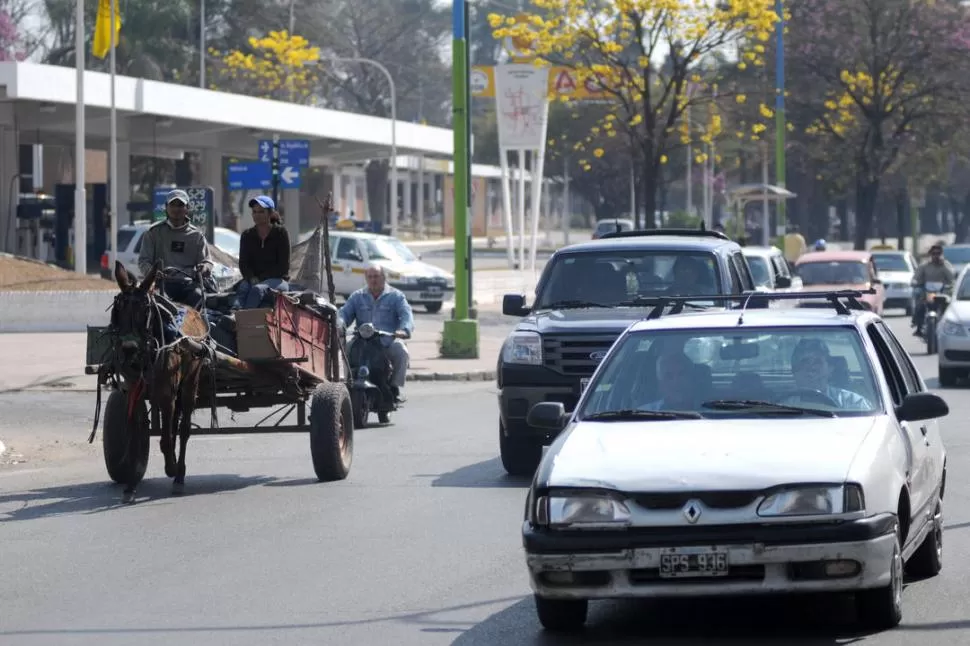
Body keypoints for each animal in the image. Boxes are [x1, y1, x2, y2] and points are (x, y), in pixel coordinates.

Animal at [108, 260, 217, 504]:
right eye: (119, 311)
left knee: (183, 428)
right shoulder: (134, 390)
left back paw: (179, 475)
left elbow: (167, 437)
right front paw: (130, 485)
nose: (128, 350)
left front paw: (172, 467)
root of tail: (195, 310)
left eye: (145, 310)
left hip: (190, 382)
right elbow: (134, 436)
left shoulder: (167, 393)